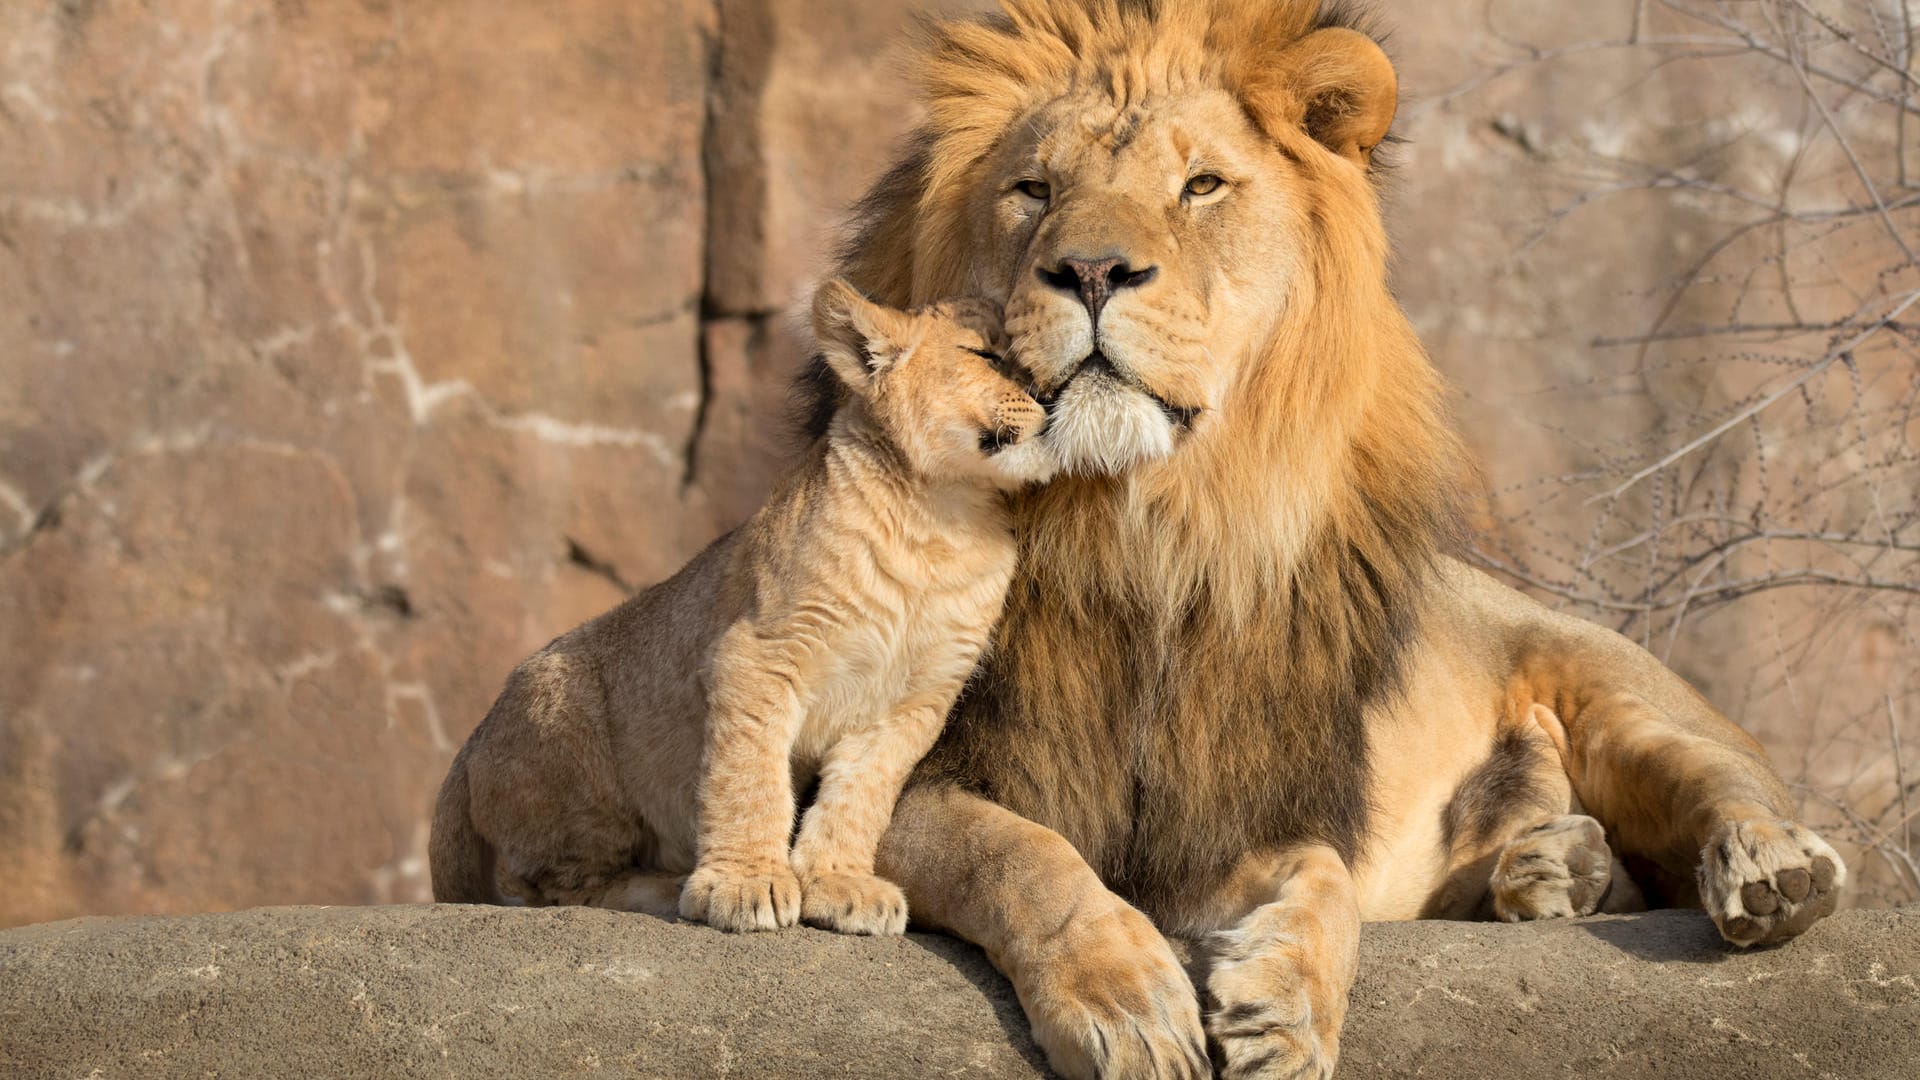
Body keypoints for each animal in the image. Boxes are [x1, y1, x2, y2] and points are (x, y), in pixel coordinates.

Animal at [825, 2, 1843, 1076]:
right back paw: (1553, 869)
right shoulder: (893, 778)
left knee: (1725, 783)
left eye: (1200, 185)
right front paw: (1126, 1002)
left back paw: (1768, 871)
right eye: (1035, 190)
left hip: (1618, 695)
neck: (1141, 533)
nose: (1092, 270)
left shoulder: (1239, 808)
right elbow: (1023, 855)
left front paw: (1288, 1014)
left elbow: (1325, 882)